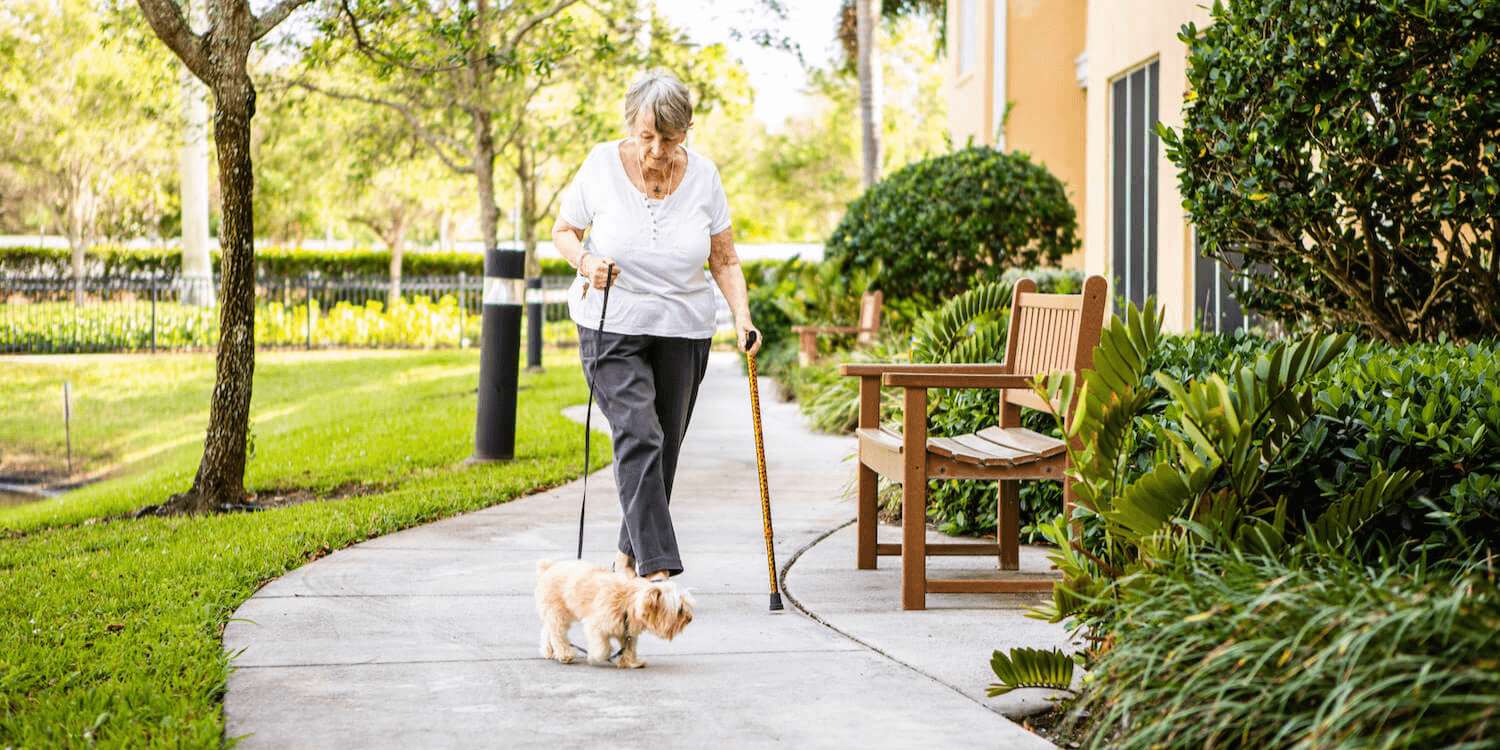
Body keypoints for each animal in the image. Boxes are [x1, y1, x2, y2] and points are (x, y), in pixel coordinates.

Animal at [537, 558, 693, 669]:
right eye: (679, 610)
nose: (690, 619)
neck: (628, 600)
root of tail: (549, 567)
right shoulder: (596, 625)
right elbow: (603, 646)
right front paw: (599, 655)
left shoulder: (627, 631)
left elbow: (629, 647)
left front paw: (631, 662)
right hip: (558, 613)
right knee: (557, 633)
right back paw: (565, 654)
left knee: (547, 630)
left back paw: (549, 651)